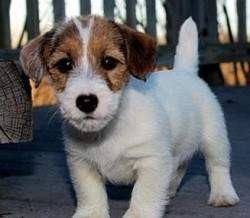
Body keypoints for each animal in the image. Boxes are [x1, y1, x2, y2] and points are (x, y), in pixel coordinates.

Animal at [20, 15, 239, 218]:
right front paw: (91, 213)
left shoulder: (152, 161)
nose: (86, 101)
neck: (110, 129)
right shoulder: (81, 163)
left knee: (218, 166)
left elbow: (144, 193)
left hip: (215, 139)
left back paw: (222, 195)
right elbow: (89, 192)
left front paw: (139, 214)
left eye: (109, 62)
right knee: (179, 166)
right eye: (64, 64)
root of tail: (185, 71)